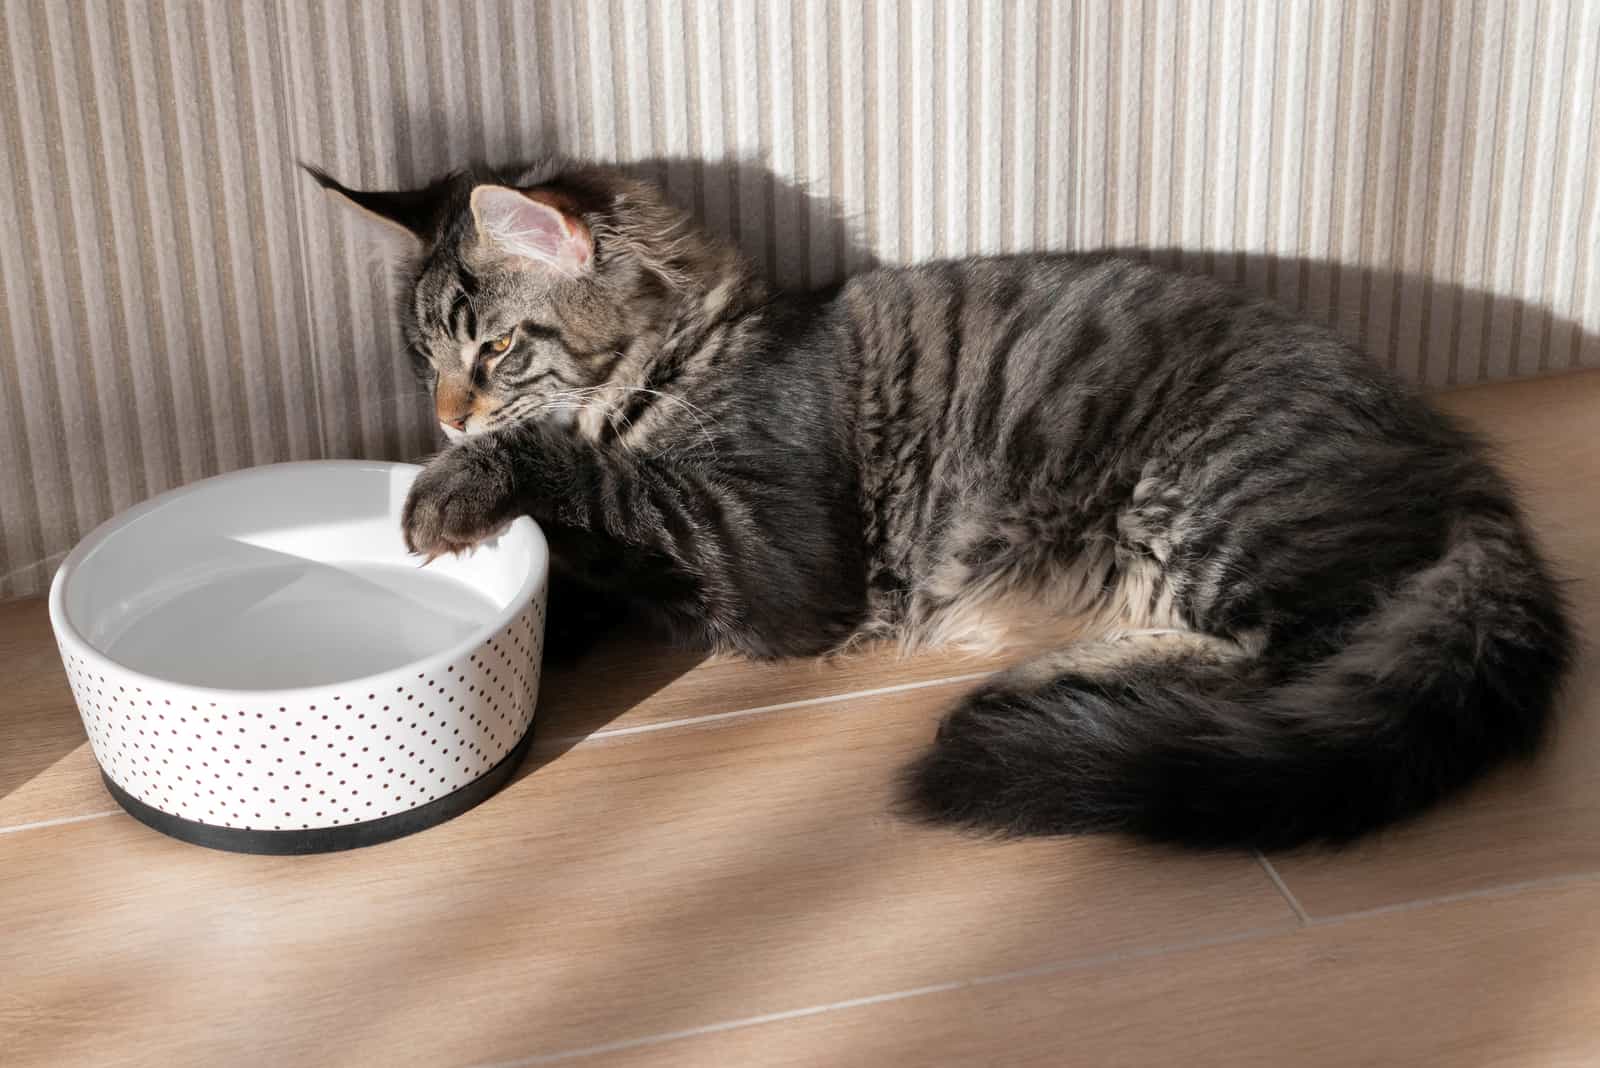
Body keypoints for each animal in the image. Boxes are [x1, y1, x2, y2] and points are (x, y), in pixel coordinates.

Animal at [308, 158, 1574, 850]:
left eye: (496, 350)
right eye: (426, 359)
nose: (445, 421)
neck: (695, 357)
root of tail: (1462, 470)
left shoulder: (767, 558)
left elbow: (598, 489)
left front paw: (460, 492)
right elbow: (586, 557)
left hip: (1210, 497)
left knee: (1298, 654)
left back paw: (1044, 683)